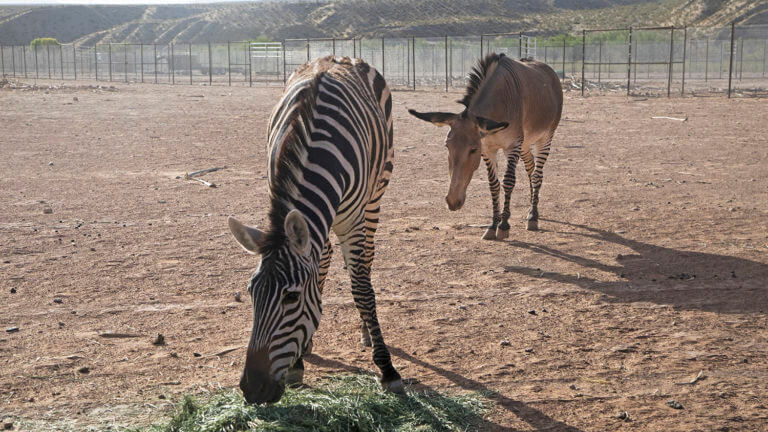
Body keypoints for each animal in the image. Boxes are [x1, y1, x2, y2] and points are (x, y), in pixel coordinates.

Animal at [226, 55, 402, 404]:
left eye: (291, 298)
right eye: (251, 293)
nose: (252, 389)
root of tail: (339, 57)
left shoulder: (352, 221)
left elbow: (362, 288)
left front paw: (387, 369)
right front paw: (297, 364)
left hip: (376, 195)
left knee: (366, 262)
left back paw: (367, 331)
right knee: (325, 257)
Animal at [408, 53, 564, 240]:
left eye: (473, 150)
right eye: (447, 147)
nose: (452, 202)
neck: (500, 102)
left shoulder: (512, 145)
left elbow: (508, 181)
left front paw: (503, 225)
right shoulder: (489, 148)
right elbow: (493, 185)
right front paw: (493, 225)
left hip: (545, 137)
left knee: (537, 175)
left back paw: (533, 216)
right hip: (526, 143)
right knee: (531, 167)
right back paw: (529, 208)